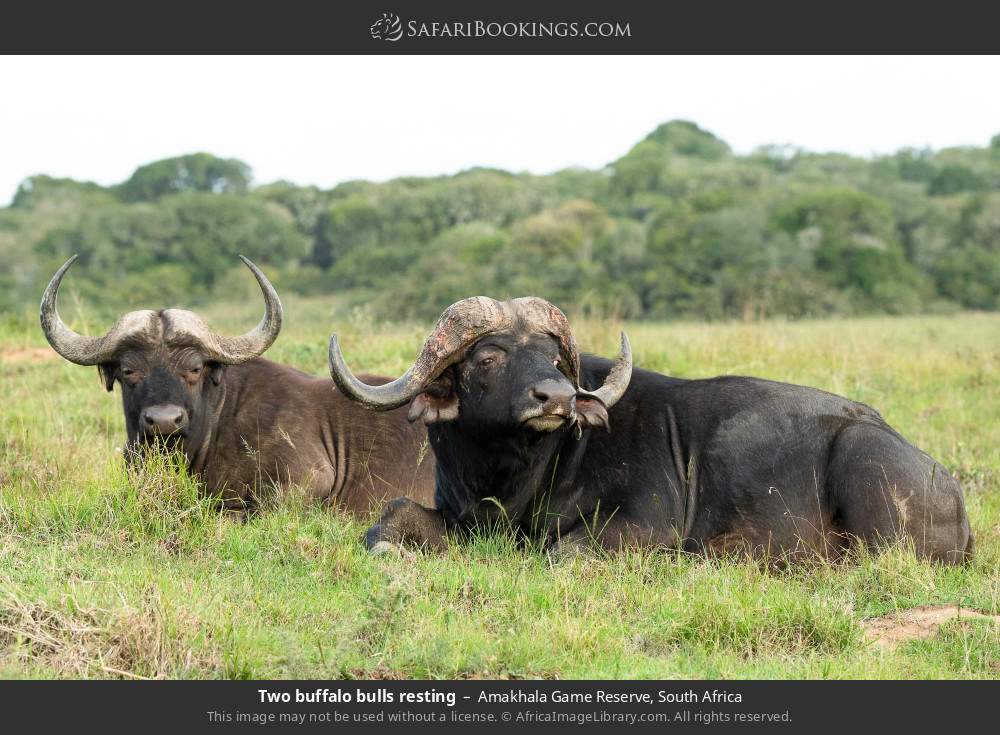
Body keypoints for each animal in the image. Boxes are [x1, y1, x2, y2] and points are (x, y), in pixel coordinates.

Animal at [328, 296, 973, 564]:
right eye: (487, 356)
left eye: (551, 357)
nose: (556, 397)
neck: (512, 475)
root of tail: (950, 489)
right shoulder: (467, 521)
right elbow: (390, 516)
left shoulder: (642, 527)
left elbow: (561, 552)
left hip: (864, 469)